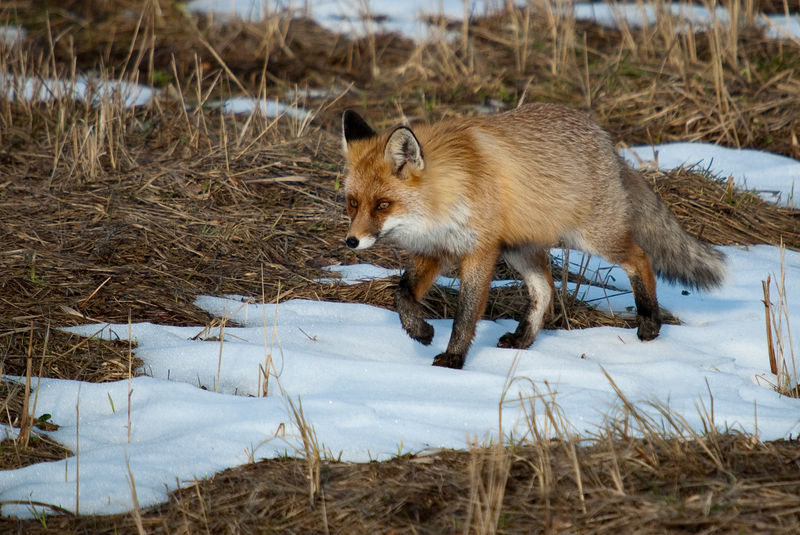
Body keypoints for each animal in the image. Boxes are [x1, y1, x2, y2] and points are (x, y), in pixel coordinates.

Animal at [338, 103, 724, 370]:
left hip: (592, 238)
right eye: (353, 203)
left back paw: (649, 322)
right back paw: (524, 339)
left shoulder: (480, 250)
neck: (443, 196)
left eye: (383, 205)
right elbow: (401, 294)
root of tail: (606, 142)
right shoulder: (436, 249)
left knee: (640, 259)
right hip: (518, 249)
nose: (351, 242)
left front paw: (453, 358)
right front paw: (420, 331)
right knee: (545, 289)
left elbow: (465, 315)